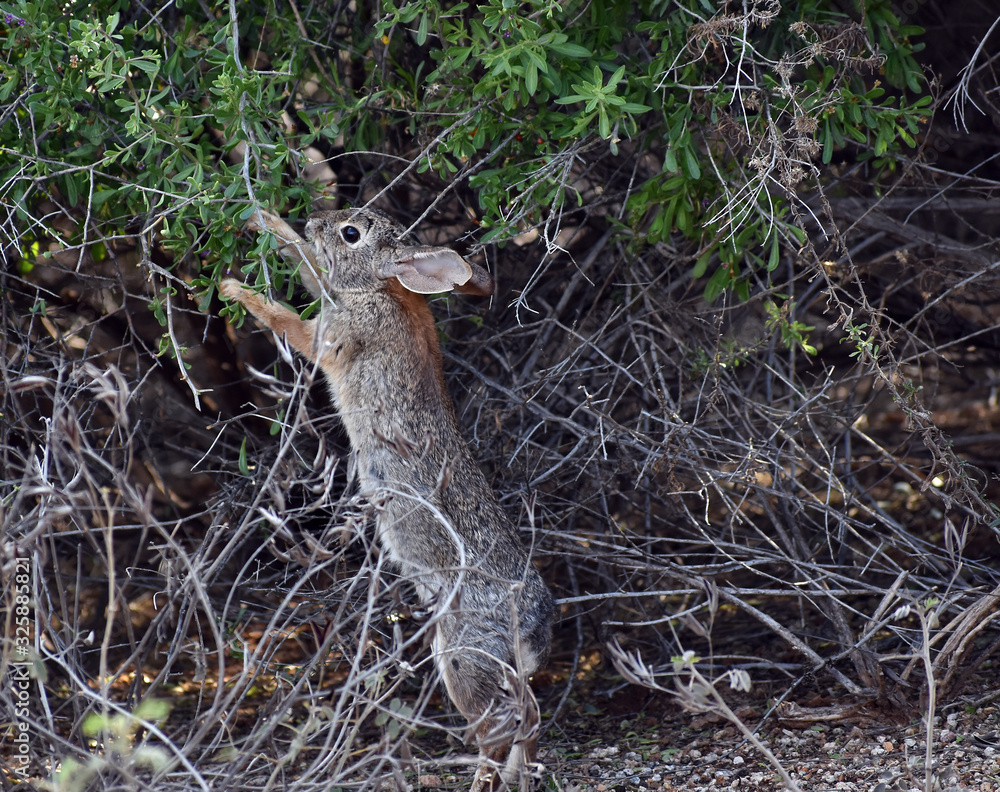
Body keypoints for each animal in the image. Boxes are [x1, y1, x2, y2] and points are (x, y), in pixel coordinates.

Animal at [220, 207, 555, 790]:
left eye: (352, 233)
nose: (317, 219)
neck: (384, 288)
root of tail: (532, 624)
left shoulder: (332, 333)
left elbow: (290, 322)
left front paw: (235, 288)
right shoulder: (334, 291)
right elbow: (308, 268)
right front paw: (270, 222)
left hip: (464, 657)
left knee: (500, 720)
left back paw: (482, 780)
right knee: (528, 712)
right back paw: (519, 778)